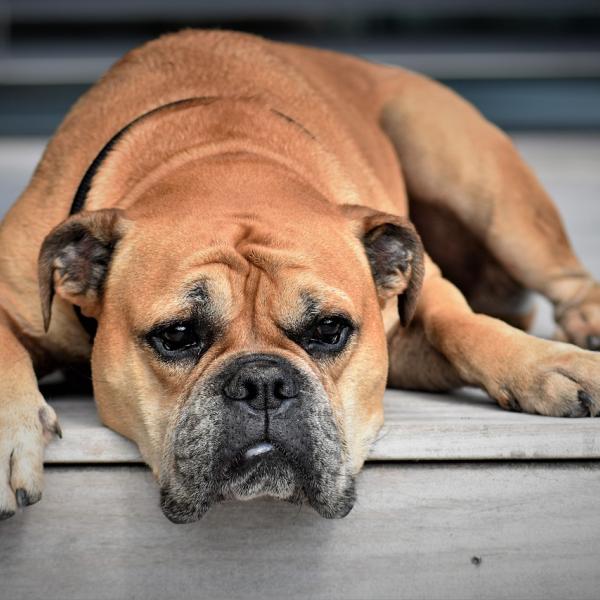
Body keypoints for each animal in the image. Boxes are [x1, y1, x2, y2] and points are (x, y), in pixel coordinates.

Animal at [1, 30, 600, 524]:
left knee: (562, 277)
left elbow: (464, 325)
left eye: (329, 330)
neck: (221, 157)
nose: (263, 383)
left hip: (476, 178)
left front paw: (548, 364)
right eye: (177, 335)